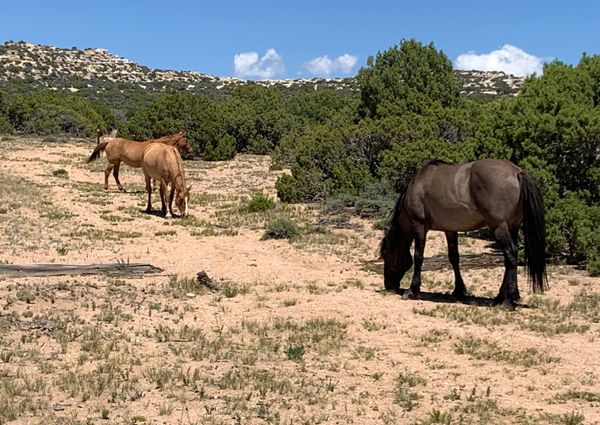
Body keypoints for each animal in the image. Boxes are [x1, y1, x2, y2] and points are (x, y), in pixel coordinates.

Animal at [382, 158, 548, 308]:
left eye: (386, 255)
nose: (388, 285)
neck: (417, 185)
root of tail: (516, 172)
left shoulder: (419, 226)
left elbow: (418, 257)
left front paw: (412, 290)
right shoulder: (450, 229)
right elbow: (454, 258)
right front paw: (458, 290)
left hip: (499, 227)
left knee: (511, 254)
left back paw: (507, 301)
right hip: (512, 227)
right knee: (511, 257)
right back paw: (502, 297)